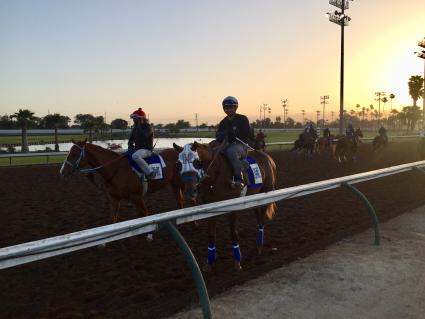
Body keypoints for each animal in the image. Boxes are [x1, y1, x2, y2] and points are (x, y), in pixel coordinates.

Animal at [174, 141, 276, 272]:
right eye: (178, 165)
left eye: (196, 162)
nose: (190, 192)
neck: (216, 176)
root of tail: (268, 158)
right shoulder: (210, 209)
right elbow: (211, 235)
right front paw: (209, 263)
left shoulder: (233, 208)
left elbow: (233, 233)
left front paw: (237, 263)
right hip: (255, 200)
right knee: (259, 220)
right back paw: (258, 247)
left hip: (265, 196)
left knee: (262, 221)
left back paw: (259, 247)